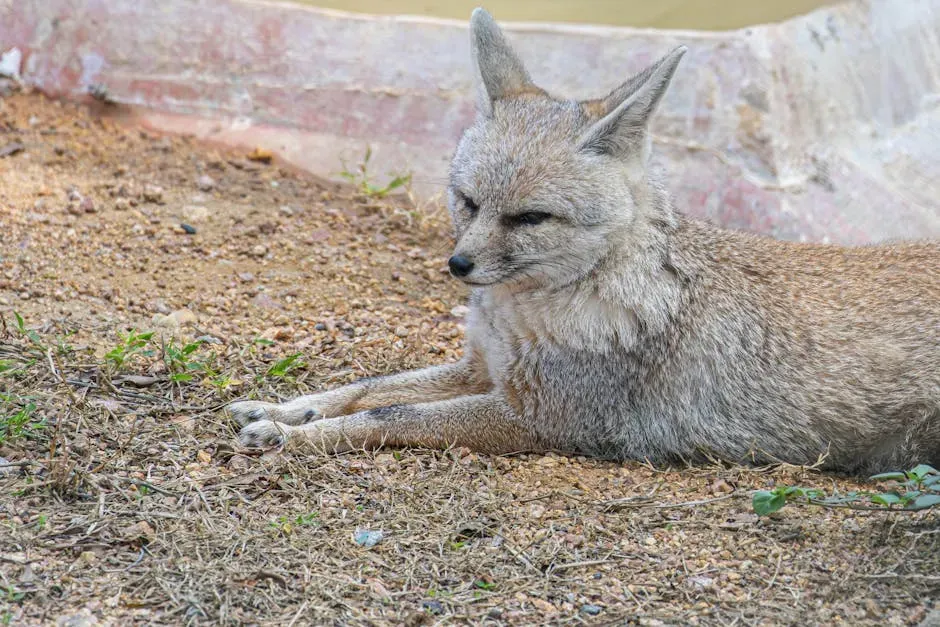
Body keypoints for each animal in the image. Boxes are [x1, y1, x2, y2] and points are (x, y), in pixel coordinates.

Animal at [228, 8, 939, 474]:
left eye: (530, 218)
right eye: (468, 202)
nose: (458, 265)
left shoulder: (539, 419)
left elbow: (388, 415)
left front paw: (294, 439)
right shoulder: (482, 369)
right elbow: (367, 386)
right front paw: (287, 409)